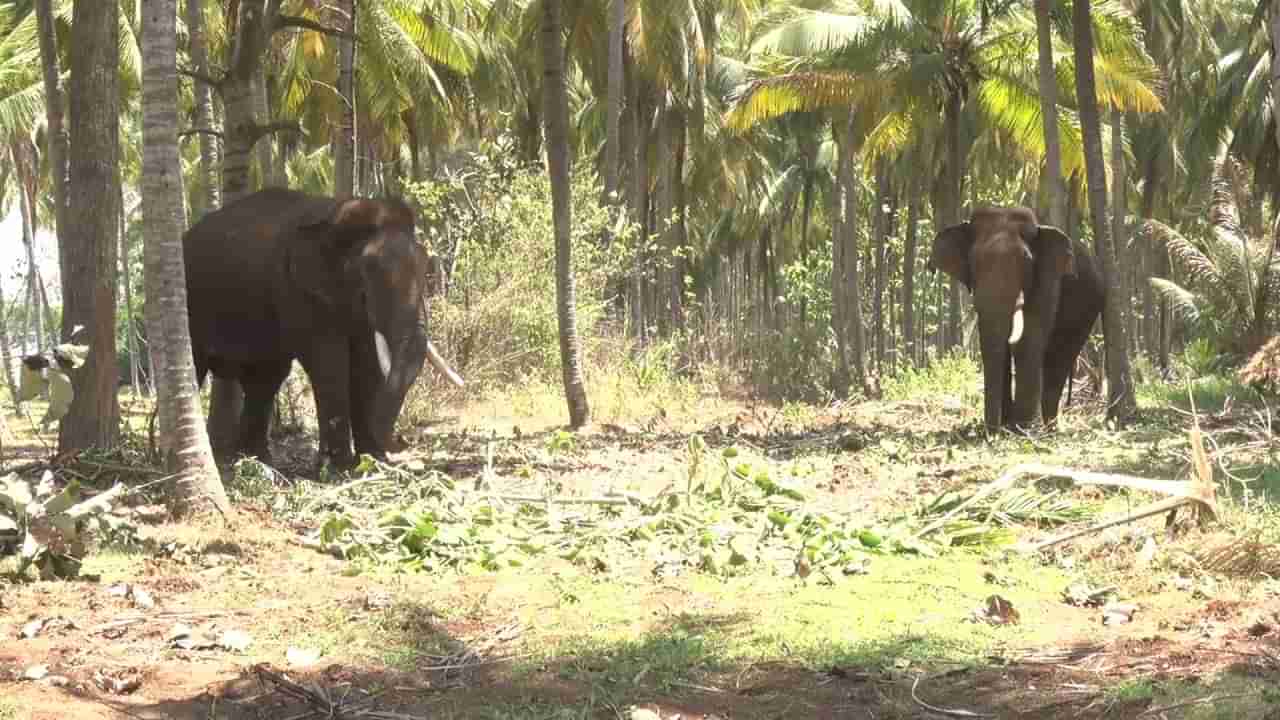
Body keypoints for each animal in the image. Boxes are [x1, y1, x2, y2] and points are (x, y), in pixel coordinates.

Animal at [180, 185, 460, 466]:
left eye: (425, 266)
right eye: (367, 271)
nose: (403, 440)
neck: (336, 212)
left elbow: (366, 363)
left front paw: (372, 460)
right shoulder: (297, 290)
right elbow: (328, 361)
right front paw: (339, 466)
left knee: (266, 378)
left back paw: (257, 460)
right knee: (202, 366)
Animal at [926, 206, 1105, 430]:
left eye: (1027, 262)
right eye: (973, 261)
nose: (991, 431)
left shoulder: (1047, 279)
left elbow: (1029, 339)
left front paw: (1020, 427)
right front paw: (1006, 425)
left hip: (1086, 309)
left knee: (1058, 359)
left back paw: (1048, 427)